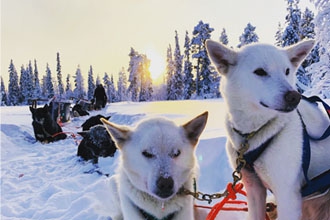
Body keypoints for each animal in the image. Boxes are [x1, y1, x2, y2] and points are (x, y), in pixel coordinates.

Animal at [206, 40, 330, 220]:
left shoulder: (287, 195)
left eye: (287, 71)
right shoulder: (253, 187)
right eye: (260, 72)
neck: (253, 134)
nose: (295, 96)